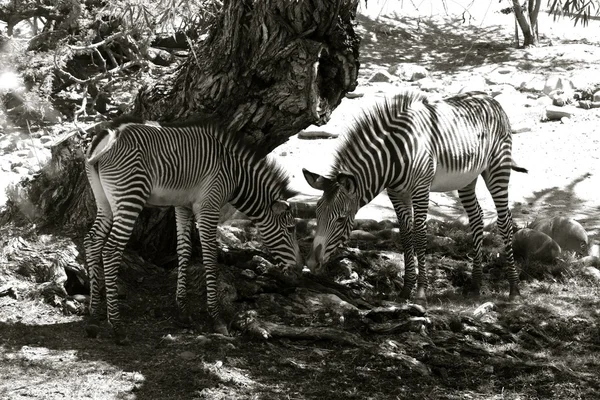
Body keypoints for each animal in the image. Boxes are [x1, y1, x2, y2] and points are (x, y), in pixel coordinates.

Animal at [83, 116, 304, 344]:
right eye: (290, 229)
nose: (299, 268)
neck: (234, 174)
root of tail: (111, 134)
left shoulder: (183, 206)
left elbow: (184, 251)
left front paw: (182, 311)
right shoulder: (209, 207)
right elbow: (210, 258)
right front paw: (216, 317)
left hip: (104, 201)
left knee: (92, 242)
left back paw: (94, 316)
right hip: (130, 196)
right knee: (110, 250)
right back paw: (117, 325)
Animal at [302, 90, 528, 304]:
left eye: (341, 219)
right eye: (317, 215)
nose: (311, 263)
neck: (395, 157)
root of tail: (489, 99)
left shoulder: (421, 189)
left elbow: (419, 235)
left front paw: (420, 292)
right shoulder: (396, 194)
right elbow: (405, 235)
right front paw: (405, 289)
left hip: (498, 167)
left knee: (504, 221)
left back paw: (514, 289)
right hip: (466, 179)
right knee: (477, 218)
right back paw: (475, 284)